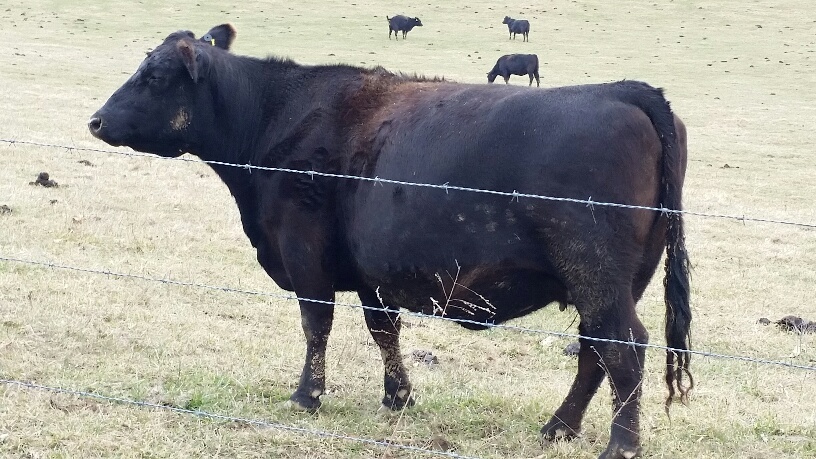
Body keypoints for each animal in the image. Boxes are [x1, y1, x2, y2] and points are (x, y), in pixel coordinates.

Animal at [87, 24, 688, 459]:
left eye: (155, 76)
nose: (95, 120)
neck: (273, 116)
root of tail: (625, 91)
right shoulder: (371, 271)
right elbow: (385, 331)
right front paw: (397, 397)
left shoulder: (305, 253)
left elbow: (316, 323)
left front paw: (307, 395)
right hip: (613, 281)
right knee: (593, 350)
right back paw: (557, 428)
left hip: (595, 272)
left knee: (623, 348)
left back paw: (620, 445)